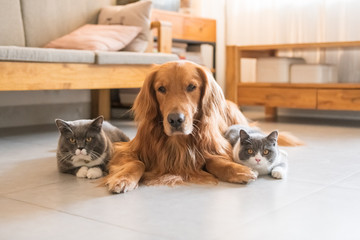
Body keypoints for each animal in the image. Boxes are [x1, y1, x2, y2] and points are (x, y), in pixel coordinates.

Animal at [103, 60, 298, 193]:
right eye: (161, 89)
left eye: (191, 86)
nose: (175, 120)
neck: (178, 142)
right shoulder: (125, 149)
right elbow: (137, 162)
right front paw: (123, 178)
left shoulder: (218, 147)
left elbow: (213, 160)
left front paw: (238, 170)